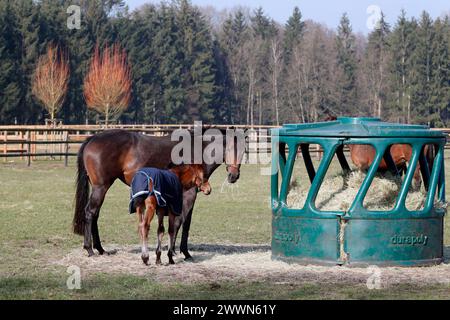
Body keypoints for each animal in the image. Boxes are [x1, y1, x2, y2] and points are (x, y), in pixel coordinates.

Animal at [73, 126, 246, 258]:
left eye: (243, 150)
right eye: (229, 148)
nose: (234, 175)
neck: (195, 150)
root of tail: (92, 139)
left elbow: (185, 222)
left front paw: (181, 251)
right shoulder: (189, 193)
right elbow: (180, 221)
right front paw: (177, 252)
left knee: (95, 214)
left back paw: (101, 249)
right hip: (101, 187)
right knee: (90, 212)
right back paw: (90, 249)